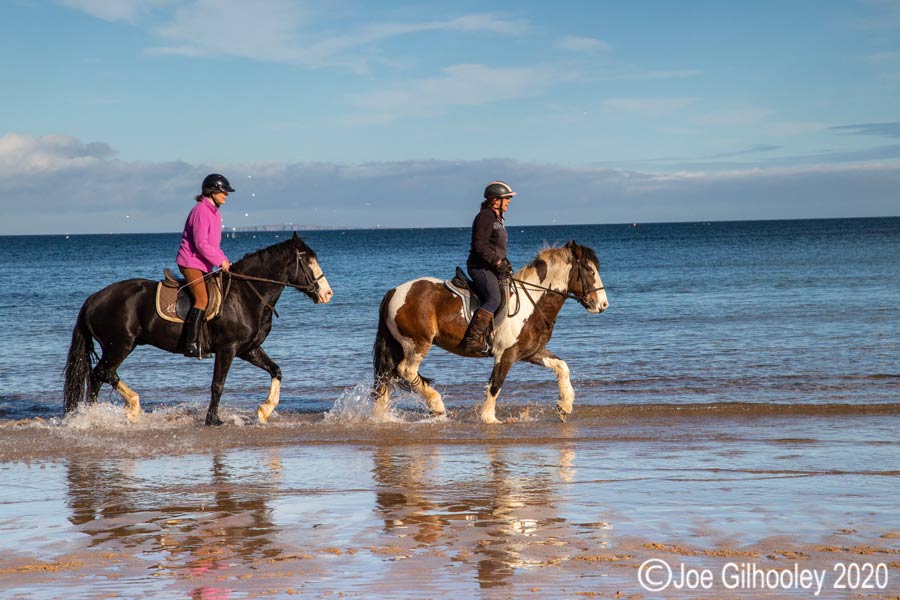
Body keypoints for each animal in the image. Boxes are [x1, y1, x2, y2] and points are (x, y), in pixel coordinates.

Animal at [64, 233, 333, 426]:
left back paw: (94, 414)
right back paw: (128, 408)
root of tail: (94, 298)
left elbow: (276, 370)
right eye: (307, 261)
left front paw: (265, 411)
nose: (327, 293)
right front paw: (213, 420)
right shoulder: (227, 348)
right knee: (102, 373)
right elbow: (218, 384)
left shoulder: (248, 349)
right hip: (120, 345)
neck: (247, 294)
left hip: (116, 347)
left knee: (98, 377)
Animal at [372, 240, 608, 424]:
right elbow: (496, 384)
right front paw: (489, 418)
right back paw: (437, 404)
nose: (603, 305)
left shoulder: (530, 352)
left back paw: (382, 416)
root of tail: (394, 291)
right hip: (417, 343)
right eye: (589, 271)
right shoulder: (506, 354)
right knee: (406, 371)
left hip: (398, 345)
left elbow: (562, 367)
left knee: (387, 378)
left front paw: (564, 406)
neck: (532, 301)